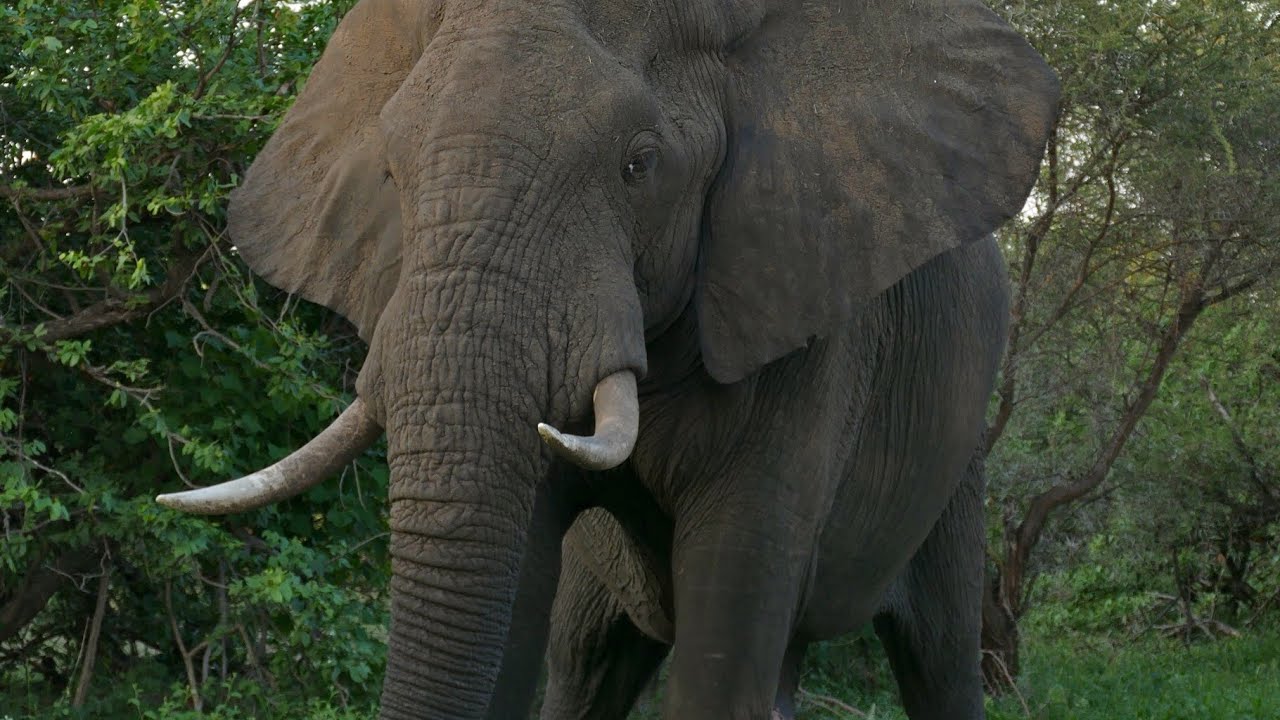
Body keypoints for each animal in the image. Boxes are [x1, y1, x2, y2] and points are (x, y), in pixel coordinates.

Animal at [155, 0, 1058, 718]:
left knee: (938, 660)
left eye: (639, 164)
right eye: (389, 170)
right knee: (589, 666)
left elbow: (719, 665)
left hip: (958, 470)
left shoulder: (807, 315)